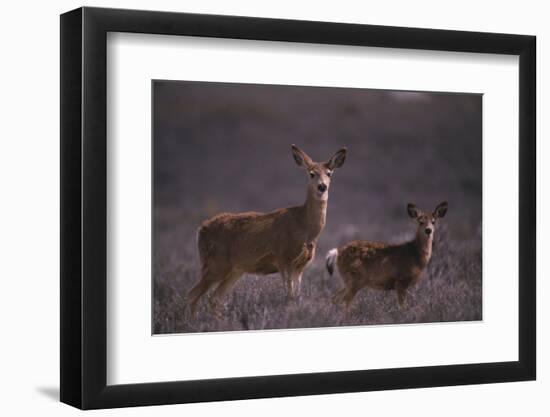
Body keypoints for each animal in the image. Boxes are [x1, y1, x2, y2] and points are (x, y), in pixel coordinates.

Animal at [188, 143, 348, 312]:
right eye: (311, 174)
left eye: (329, 173)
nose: (322, 186)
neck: (305, 228)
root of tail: (201, 230)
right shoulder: (284, 258)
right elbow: (288, 297)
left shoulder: (300, 266)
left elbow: (296, 297)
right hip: (216, 262)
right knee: (193, 295)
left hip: (234, 269)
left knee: (214, 298)